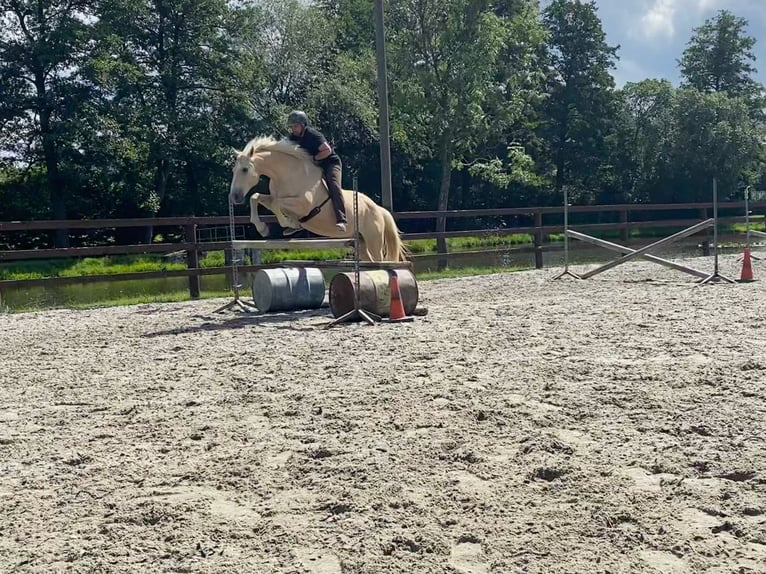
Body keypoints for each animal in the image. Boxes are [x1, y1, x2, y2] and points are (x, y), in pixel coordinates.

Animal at [226, 135, 408, 264]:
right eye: (233, 170)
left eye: (244, 169)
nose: (234, 197)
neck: (287, 174)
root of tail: (379, 209)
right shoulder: (275, 198)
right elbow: (257, 198)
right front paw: (264, 228)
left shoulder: (303, 204)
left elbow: (277, 204)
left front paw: (289, 224)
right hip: (361, 242)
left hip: (373, 240)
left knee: (379, 261)